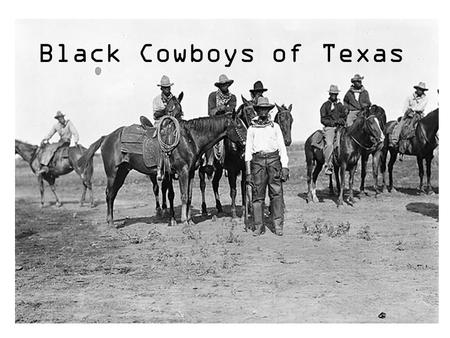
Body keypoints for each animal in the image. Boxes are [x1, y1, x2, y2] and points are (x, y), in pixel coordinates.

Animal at [77, 95, 246, 227]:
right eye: (239, 125)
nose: (246, 144)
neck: (189, 138)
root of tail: (107, 137)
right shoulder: (183, 171)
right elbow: (183, 195)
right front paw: (184, 221)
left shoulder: (191, 172)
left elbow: (189, 196)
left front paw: (190, 220)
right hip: (112, 173)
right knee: (109, 193)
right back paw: (111, 222)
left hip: (122, 172)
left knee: (113, 194)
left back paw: (110, 221)